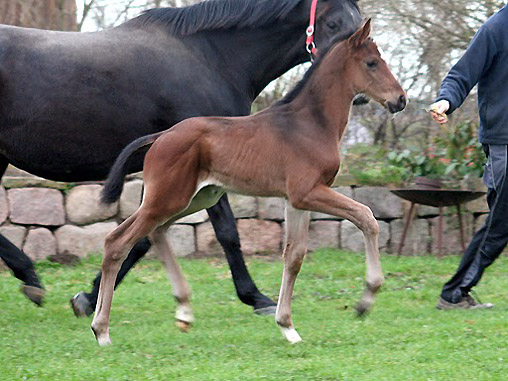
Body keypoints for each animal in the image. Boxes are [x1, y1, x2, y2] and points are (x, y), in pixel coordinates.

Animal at [93, 20, 406, 346]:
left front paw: (287, 326)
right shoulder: (308, 192)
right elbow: (366, 217)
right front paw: (365, 300)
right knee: (117, 241)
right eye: (372, 63)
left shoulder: (296, 200)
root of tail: (161, 136)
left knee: (156, 232)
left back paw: (184, 310)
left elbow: (294, 256)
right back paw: (101, 330)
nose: (400, 100)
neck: (311, 123)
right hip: (166, 198)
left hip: (196, 197)